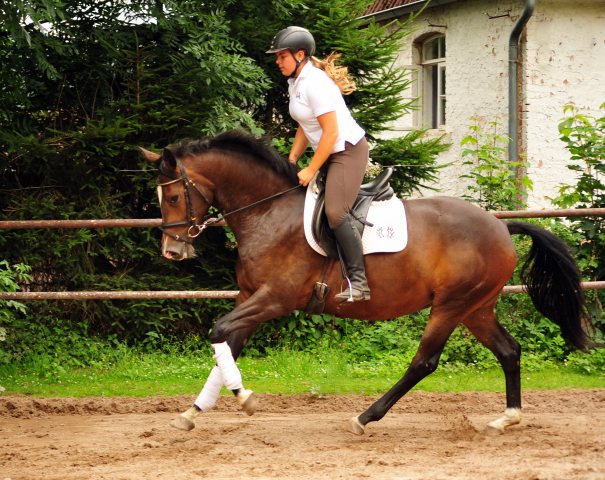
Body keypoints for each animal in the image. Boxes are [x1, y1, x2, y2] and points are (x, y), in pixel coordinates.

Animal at [140, 129, 596, 436]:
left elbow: (219, 331)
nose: (172, 251)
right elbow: (228, 343)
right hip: (476, 307)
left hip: (451, 305)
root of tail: (501, 227)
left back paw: (365, 417)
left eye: (174, 197)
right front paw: (193, 411)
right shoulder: (250, 296)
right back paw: (507, 418)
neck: (268, 212)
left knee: (424, 362)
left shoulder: (274, 299)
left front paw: (244, 398)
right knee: (508, 351)